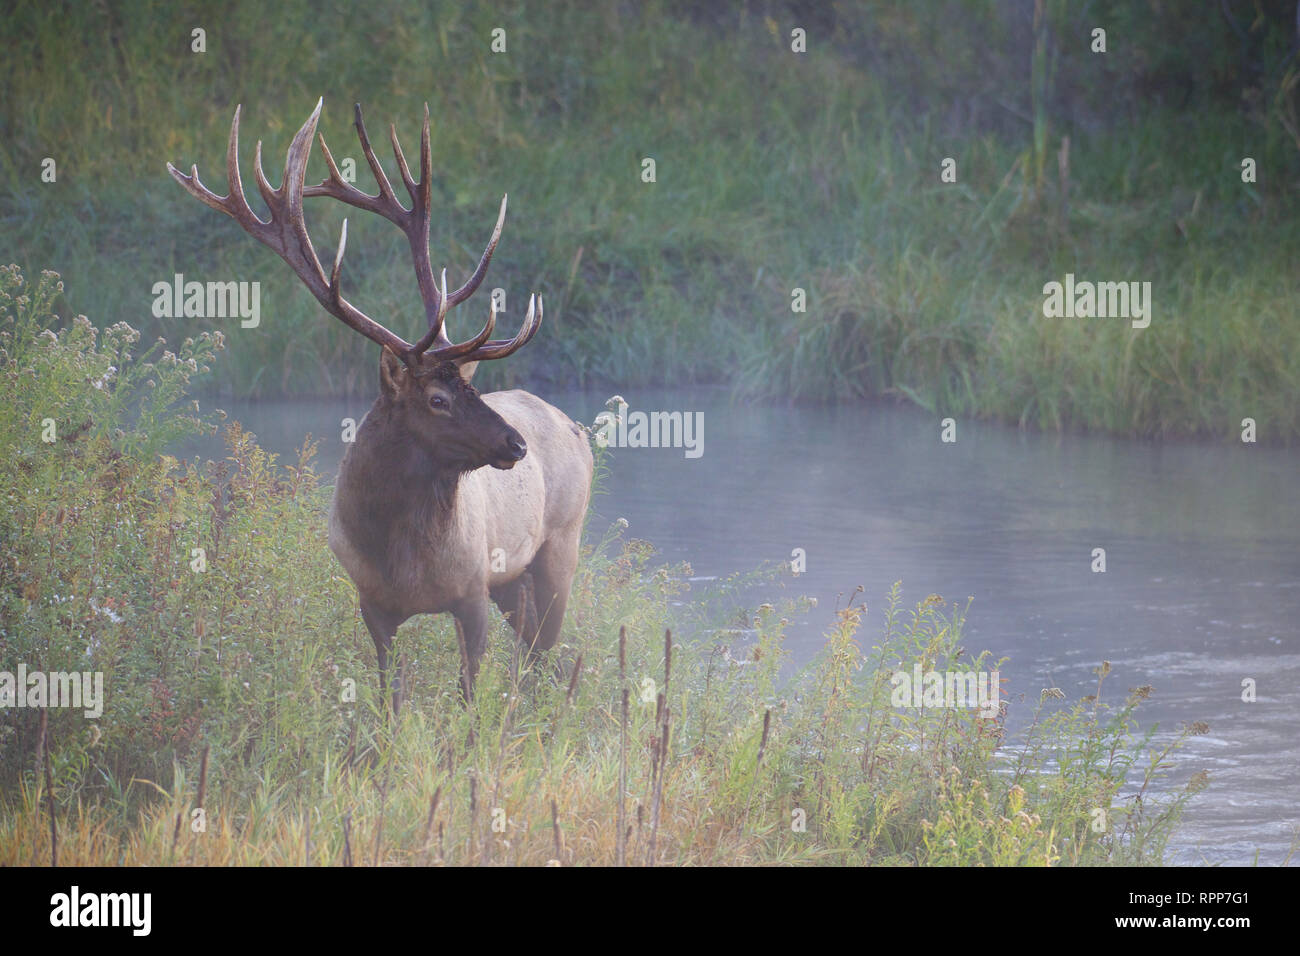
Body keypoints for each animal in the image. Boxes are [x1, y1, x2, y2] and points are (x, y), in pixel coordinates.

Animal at [168, 98, 593, 710]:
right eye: (437, 398)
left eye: (471, 388)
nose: (515, 444)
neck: (406, 561)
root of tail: (576, 427)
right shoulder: (371, 603)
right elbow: (389, 697)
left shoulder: (472, 590)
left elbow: (468, 696)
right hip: (515, 580)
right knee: (534, 648)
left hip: (560, 544)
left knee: (545, 650)